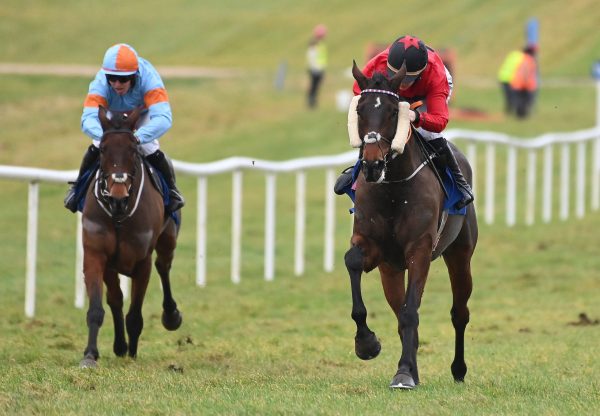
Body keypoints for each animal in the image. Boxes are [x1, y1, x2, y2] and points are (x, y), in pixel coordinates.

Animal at [79, 107, 183, 368]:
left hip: (168, 239)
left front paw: (133, 352)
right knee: (115, 298)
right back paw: (119, 346)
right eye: (102, 150)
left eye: (134, 150)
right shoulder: (96, 255)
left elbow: (135, 313)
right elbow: (98, 307)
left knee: (163, 266)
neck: (119, 214)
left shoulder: (141, 262)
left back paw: (171, 315)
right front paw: (90, 355)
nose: (118, 197)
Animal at [342, 61, 478, 386]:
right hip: (390, 269)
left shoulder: (420, 250)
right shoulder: (373, 247)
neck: (393, 187)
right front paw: (367, 343)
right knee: (400, 309)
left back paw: (457, 369)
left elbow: (411, 312)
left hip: (460, 254)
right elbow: (352, 261)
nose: (372, 164)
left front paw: (403, 372)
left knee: (459, 312)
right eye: (360, 110)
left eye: (394, 111)